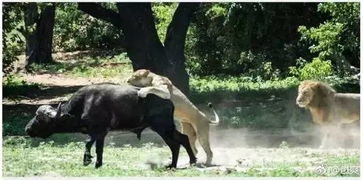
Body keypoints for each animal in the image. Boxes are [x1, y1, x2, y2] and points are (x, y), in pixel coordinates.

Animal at [24, 83, 196, 168]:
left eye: (39, 119)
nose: (27, 129)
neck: (85, 104)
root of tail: (169, 102)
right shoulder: (101, 134)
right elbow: (98, 149)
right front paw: (98, 164)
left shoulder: (98, 131)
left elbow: (88, 144)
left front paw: (87, 161)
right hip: (166, 128)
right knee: (183, 139)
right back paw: (191, 161)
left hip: (163, 128)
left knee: (175, 144)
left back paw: (173, 165)